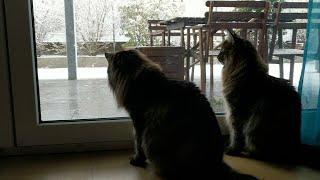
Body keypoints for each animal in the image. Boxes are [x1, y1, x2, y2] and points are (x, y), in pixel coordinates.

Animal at [219, 29, 302, 163]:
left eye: (222, 51)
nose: (217, 56)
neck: (246, 73)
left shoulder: (236, 112)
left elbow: (236, 135)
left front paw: (232, 150)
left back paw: (249, 152)